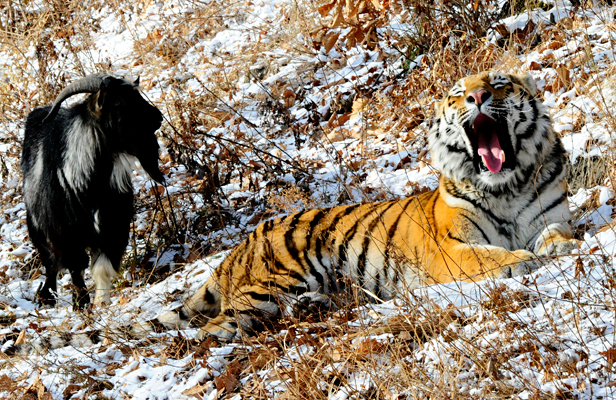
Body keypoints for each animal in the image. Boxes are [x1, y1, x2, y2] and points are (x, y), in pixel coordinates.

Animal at [23, 72, 165, 310]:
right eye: (117, 102)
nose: (158, 117)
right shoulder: (65, 233)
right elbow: (75, 266)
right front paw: (80, 303)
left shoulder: (113, 226)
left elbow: (102, 266)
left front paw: (101, 301)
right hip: (38, 230)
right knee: (50, 263)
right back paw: (47, 296)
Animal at [140, 72, 576, 340]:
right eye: (458, 94)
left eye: (498, 84)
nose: (478, 96)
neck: (506, 186)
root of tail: (240, 245)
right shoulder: (447, 250)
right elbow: (486, 256)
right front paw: (520, 260)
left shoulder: (550, 214)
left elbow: (556, 232)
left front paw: (561, 246)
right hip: (272, 285)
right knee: (213, 327)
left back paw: (312, 307)